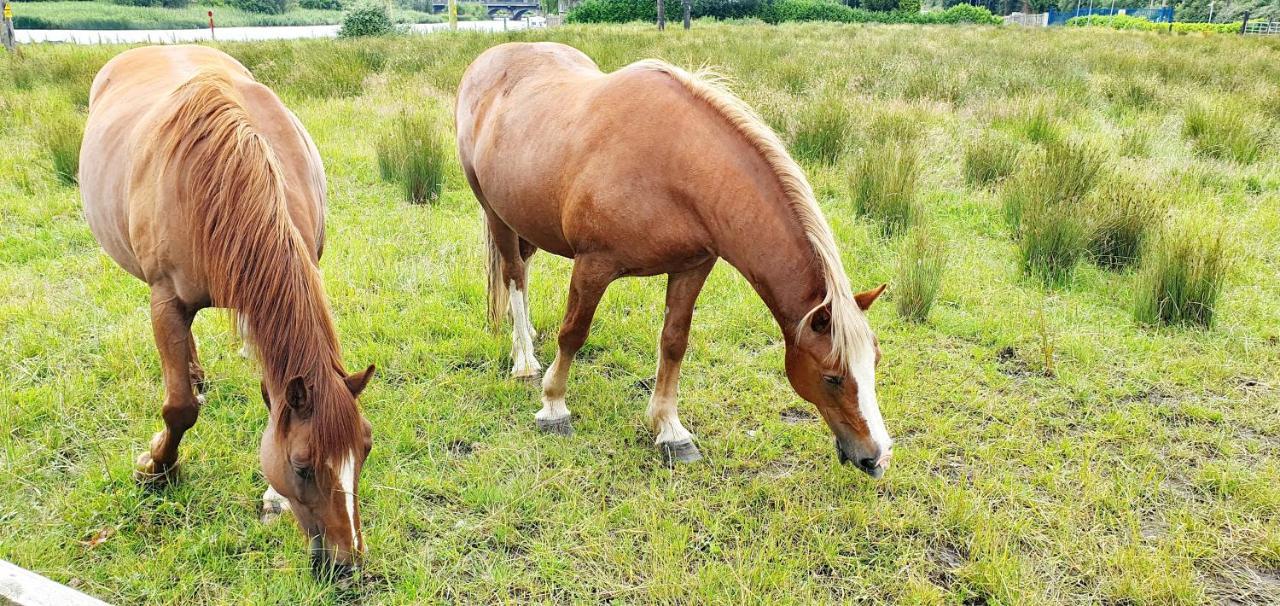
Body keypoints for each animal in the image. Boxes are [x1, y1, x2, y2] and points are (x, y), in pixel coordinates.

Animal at [80, 44, 373, 573]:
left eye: (366, 448)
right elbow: (178, 409)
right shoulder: (165, 301)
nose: (347, 563)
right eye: (302, 466)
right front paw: (157, 468)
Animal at [458, 43, 890, 476]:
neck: (675, 167)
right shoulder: (593, 265)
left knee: (523, 270)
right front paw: (554, 406)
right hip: (495, 213)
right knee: (514, 275)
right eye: (832, 377)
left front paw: (669, 430)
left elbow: (673, 343)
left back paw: (527, 335)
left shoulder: (692, 268)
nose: (877, 456)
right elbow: (574, 333)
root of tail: (488, 61)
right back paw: (524, 361)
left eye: (875, 361)